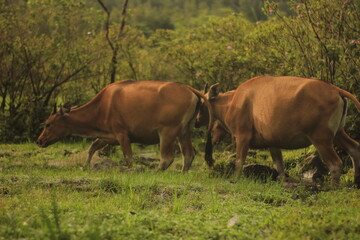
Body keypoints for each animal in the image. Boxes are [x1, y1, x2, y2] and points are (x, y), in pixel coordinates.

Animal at [37, 79, 214, 172]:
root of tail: (189, 89)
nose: (39, 140)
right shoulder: (108, 136)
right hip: (185, 132)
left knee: (167, 157)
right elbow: (92, 147)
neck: (103, 105)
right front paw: (85, 166)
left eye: (48, 124)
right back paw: (183, 172)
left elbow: (128, 157)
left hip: (167, 132)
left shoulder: (122, 134)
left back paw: (155, 172)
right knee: (189, 154)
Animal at [198, 76, 360, 187]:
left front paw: (235, 179)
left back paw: (333, 187)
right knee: (354, 149)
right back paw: (355, 181)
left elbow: (239, 161)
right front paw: (283, 181)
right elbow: (279, 164)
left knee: (335, 163)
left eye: (202, 103)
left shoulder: (242, 137)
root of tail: (335, 89)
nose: (197, 119)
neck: (233, 102)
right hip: (338, 133)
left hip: (321, 138)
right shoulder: (272, 142)